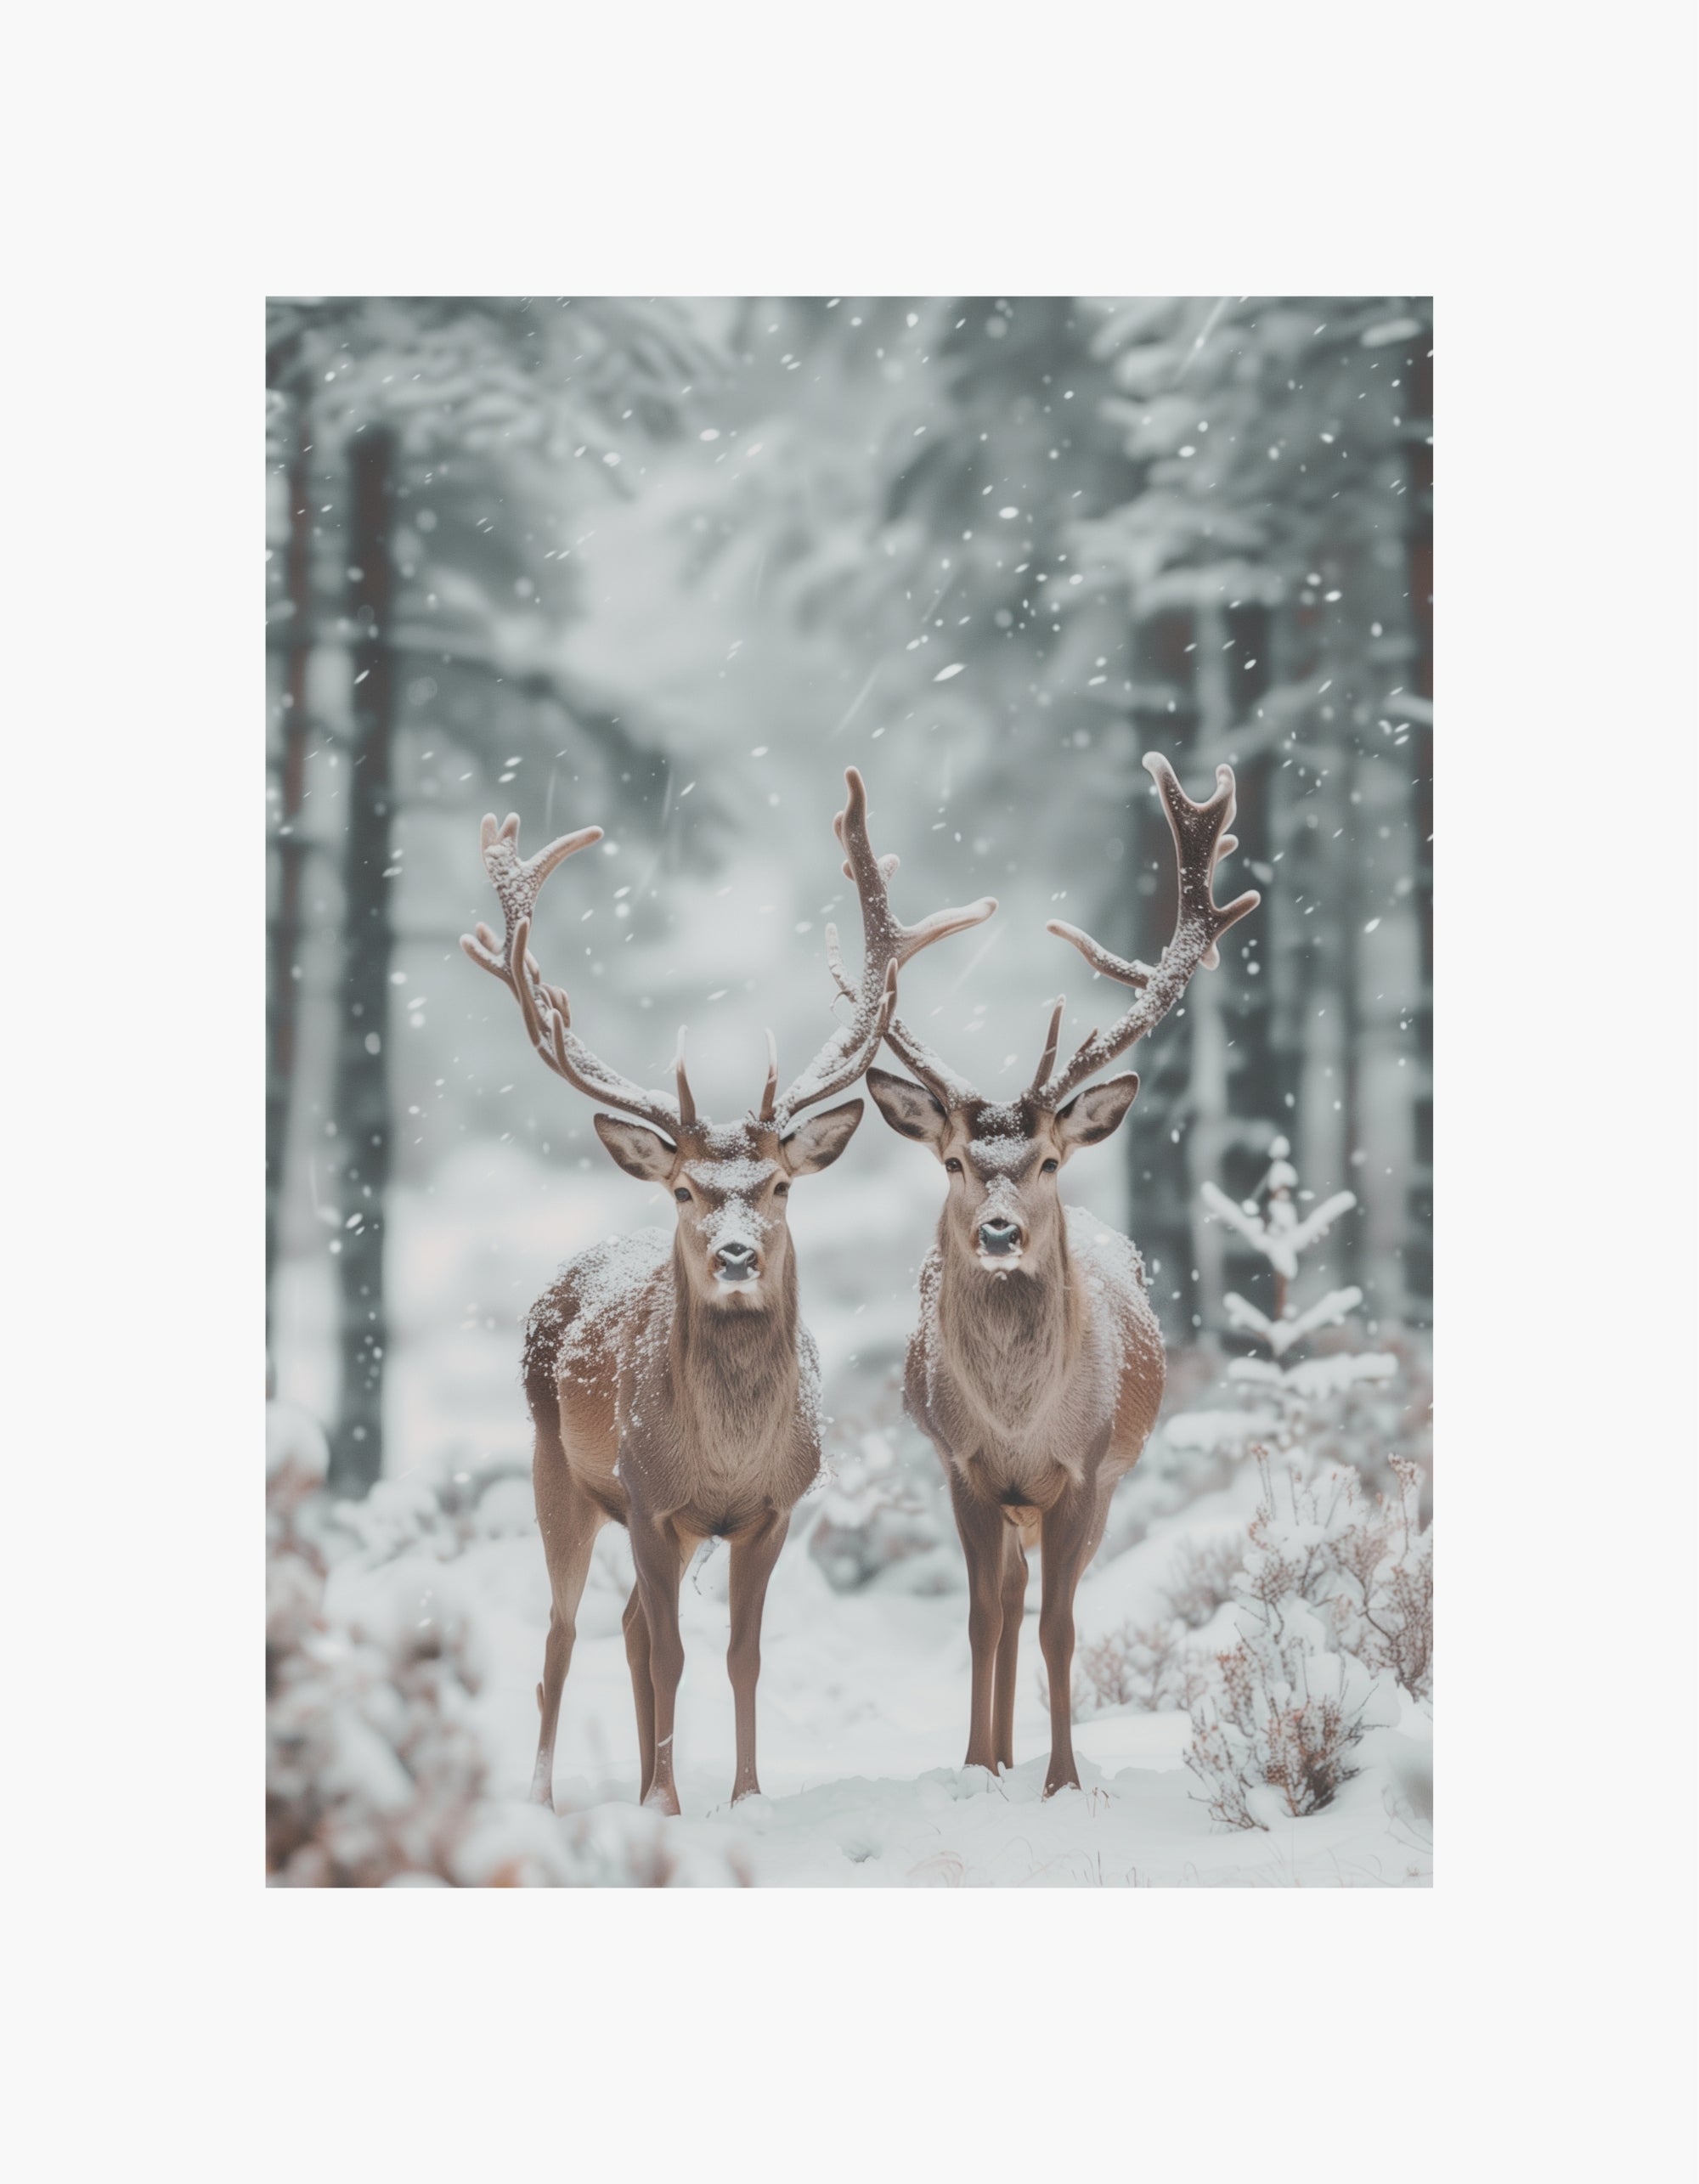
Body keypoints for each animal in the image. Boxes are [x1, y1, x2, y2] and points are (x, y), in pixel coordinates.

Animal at [461, 770, 994, 1816]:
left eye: (780, 1184)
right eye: (684, 1189)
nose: (739, 1252)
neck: (724, 1456)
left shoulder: (772, 1508)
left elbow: (741, 1654)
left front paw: (742, 1795)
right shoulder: (650, 1496)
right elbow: (672, 1653)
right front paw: (667, 1806)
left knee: (627, 1626)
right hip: (560, 1472)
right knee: (562, 1636)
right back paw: (547, 1795)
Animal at [857, 753, 1259, 1798]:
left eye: (1045, 1160)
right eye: (954, 1161)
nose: (999, 1231)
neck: (1016, 1418)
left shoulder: (1084, 1469)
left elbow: (1061, 1627)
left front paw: (1063, 1781)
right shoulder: (962, 1466)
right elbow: (981, 1620)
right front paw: (976, 1766)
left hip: (1101, 1481)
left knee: (1035, 1602)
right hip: (1003, 1499)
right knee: (1001, 1599)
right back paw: (997, 1752)